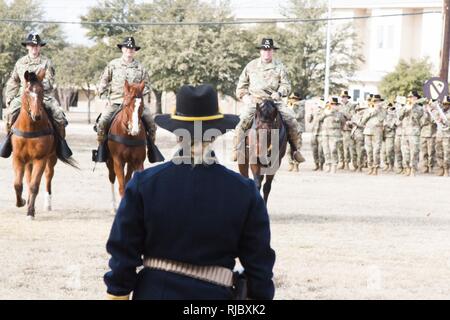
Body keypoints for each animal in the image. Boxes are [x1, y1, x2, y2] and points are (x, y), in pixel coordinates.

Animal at [11, 69, 58, 219]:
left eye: (42, 90)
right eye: (27, 91)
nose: (37, 115)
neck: (30, 129)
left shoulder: (40, 159)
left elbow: (34, 185)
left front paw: (30, 212)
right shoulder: (18, 158)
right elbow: (18, 184)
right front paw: (21, 202)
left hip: (51, 158)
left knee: (48, 176)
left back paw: (47, 204)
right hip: (28, 162)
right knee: (27, 178)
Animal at [107, 80, 146, 210]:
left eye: (142, 106)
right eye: (127, 105)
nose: (135, 130)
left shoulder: (138, 161)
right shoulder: (118, 161)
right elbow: (121, 187)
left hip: (130, 163)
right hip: (110, 162)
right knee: (112, 178)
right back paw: (113, 206)